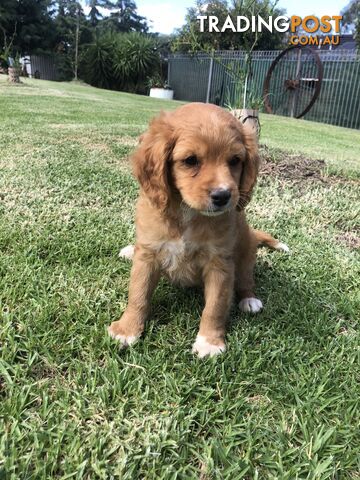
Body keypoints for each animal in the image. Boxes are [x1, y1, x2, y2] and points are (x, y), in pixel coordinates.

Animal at [108, 103, 288, 356]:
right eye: (191, 160)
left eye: (235, 160)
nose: (223, 196)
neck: (188, 214)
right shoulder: (148, 256)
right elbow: (138, 294)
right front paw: (127, 328)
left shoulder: (220, 265)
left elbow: (215, 306)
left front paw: (209, 342)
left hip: (246, 253)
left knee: (245, 280)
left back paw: (249, 300)